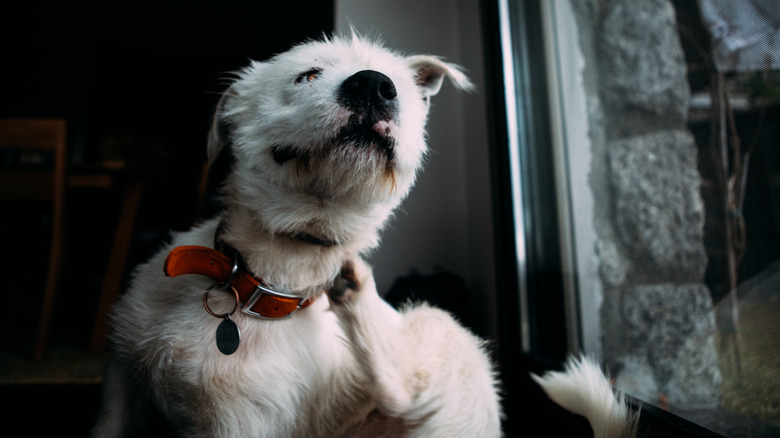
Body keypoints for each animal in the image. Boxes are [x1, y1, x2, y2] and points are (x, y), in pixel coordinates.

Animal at [93, 35, 632, 438]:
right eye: (307, 75)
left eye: (395, 88)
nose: (375, 86)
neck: (261, 282)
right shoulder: (122, 385)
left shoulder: (237, 429)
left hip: (444, 333)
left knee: (404, 387)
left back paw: (359, 301)